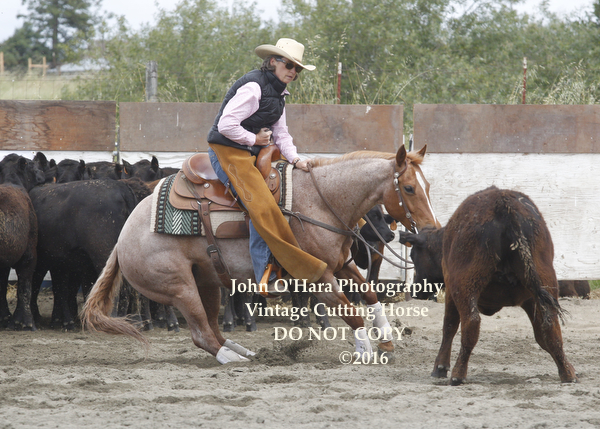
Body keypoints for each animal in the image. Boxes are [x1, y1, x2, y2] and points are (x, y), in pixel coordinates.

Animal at [82, 145, 439, 364]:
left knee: (213, 328)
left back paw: (243, 351)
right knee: (201, 334)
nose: (431, 229)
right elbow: (351, 312)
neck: (321, 201)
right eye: (409, 188)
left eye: (428, 186)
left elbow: (370, 295)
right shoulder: (317, 276)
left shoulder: (340, 265)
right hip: (180, 288)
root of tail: (123, 239)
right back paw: (233, 359)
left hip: (206, 281)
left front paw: (387, 340)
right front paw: (365, 351)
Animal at [399, 186, 578, 385]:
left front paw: (440, 366)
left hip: (465, 284)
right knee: (551, 323)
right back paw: (567, 373)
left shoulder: (452, 290)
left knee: (471, 323)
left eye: (413, 255)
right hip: (545, 281)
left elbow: (449, 326)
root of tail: (503, 204)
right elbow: (542, 334)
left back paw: (458, 373)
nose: (415, 291)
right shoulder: (531, 299)